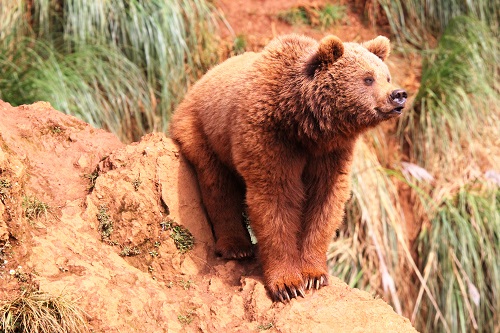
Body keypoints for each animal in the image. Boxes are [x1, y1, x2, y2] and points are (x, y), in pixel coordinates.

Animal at [169, 33, 406, 300]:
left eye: (386, 76)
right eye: (368, 78)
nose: (398, 94)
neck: (304, 124)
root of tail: (198, 82)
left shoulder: (331, 154)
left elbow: (324, 203)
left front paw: (314, 275)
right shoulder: (268, 137)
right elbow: (275, 200)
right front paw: (287, 284)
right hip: (204, 134)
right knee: (218, 186)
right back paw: (236, 246)